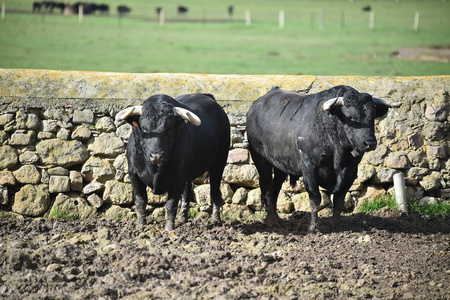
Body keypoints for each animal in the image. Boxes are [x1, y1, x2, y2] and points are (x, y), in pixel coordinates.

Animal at [116, 93, 230, 230]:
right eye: (143, 129)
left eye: (169, 129)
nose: (156, 156)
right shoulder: (134, 174)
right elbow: (140, 201)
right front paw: (140, 225)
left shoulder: (178, 179)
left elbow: (171, 204)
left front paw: (169, 228)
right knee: (187, 192)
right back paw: (182, 218)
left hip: (219, 163)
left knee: (214, 191)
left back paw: (216, 220)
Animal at [246, 85, 400, 231]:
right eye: (351, 117)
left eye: (372, 117)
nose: (370, 143)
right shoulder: (309, 168)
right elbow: (315, 199)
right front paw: (313, 227)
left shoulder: (349, 171)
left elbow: (339, 199)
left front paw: (335, 225)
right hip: (261, 159)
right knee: (267, 186)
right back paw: (272, 221)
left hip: (281, 164)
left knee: (275, 187)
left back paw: (276, 218)